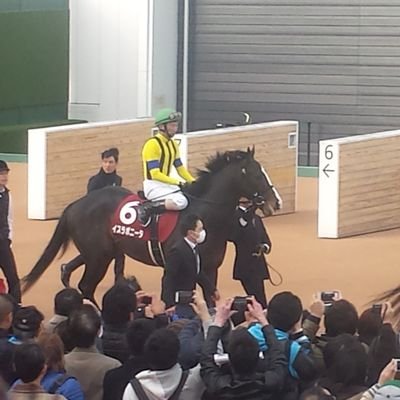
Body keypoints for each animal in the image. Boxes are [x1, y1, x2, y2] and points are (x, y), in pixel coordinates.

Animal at [21, 148, 282, 304]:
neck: (204, 215)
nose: (275, 202)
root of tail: (75, 205)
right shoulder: (178, 267)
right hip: (98, 256)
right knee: (86, 286)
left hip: (104, 252)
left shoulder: (209, 269)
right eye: (256, 174)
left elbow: (211, 301)